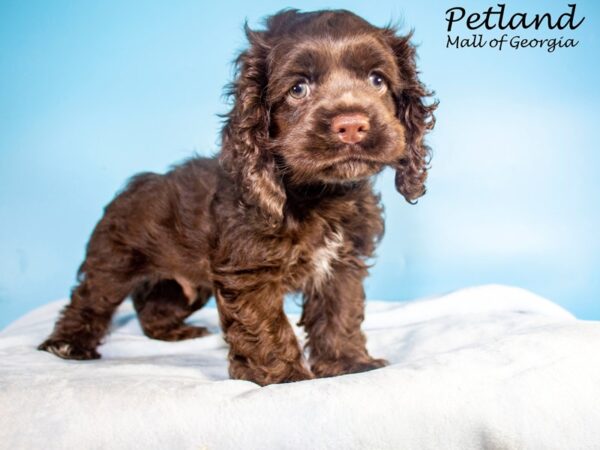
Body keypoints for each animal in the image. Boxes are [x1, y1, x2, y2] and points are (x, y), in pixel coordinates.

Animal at [37, 8, 436, 384]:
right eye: (298, 89)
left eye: (377, 80)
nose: (351, 125)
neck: (318, 194)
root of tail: (133, 184)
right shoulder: (249, 271)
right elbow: (266, 327)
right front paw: (285, 377)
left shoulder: (342, 263)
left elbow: (339, 312)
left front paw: (348, 363)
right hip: (115, 260)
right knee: (90, 299)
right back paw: (67, 344)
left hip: (185, 287)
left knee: (154, 305)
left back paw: (175, 332)